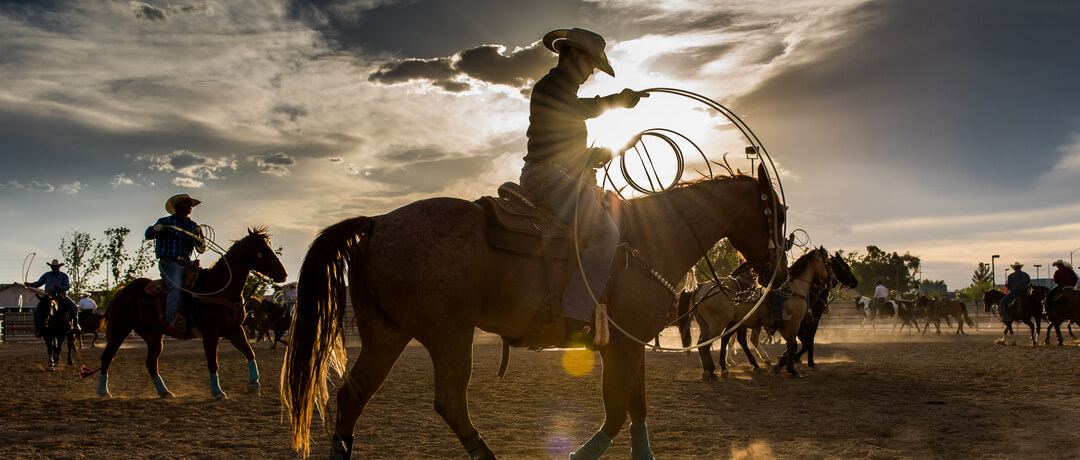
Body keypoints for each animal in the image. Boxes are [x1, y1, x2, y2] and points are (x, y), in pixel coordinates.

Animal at [88, 228, 285, 399]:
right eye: (262, 252)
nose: (283, 274)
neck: (218, 289)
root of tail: (121, 292)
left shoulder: (234, 330)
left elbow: (249, 353)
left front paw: (254, 384)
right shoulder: (210, 333)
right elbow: (213, 362)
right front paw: (217, 392)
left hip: (152, 334)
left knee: (151, 363)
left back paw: (165, 392)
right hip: (119, 329)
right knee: (107, 357)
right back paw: (103, 391)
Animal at [278, 168, 786, 459]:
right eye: (774, 213)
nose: (777, 274)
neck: (646, 238)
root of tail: (377, 223)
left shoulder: (632, 343)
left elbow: (636, 409)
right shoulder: (620, 346)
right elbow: (616, 411)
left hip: (389, 333)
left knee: (352, 397)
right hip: (448, 334)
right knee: (449, 403)